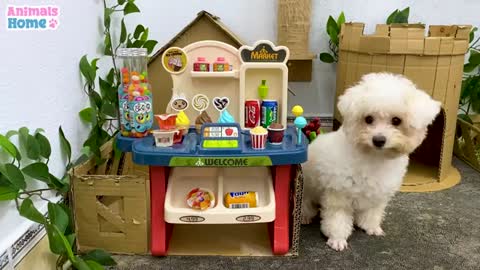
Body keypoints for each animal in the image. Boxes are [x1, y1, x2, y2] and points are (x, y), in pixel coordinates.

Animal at [302, 71, 440, 251]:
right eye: (368, 119)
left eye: (396, 120)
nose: (378, 140)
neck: (374, 157)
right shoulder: (339, 194)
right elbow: (338, 218)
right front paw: (337, 238)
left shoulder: (378, 193)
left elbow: (373, 211)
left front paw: (371, 227)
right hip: (308, 188)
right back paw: (305, 215)